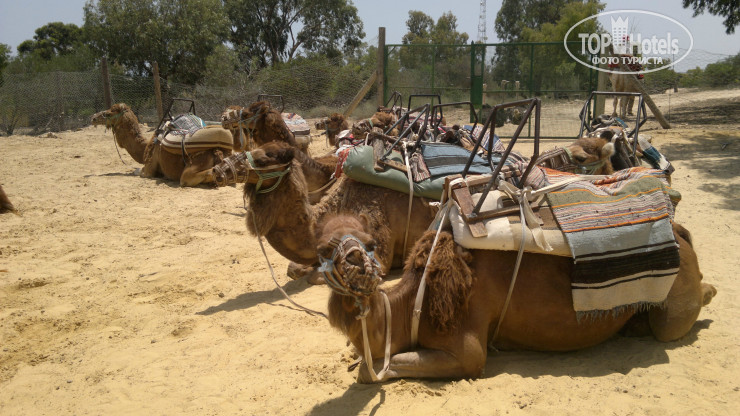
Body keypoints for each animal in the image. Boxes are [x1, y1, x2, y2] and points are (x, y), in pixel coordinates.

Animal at [90, 103, 235, 186]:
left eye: (108, 113)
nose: (94, 117)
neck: (146, 148)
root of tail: (218, 151)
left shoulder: (148, 170)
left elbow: (138, 171)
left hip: (192, 167)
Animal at [319, 215, 716, 383]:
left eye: (368, 245)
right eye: (323, 246)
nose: (352, 259)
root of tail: (678, 231)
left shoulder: (465, 350)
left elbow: (374, 372)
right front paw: (354, 357)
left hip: (674, 292)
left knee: (673, 323)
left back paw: (708, 294)